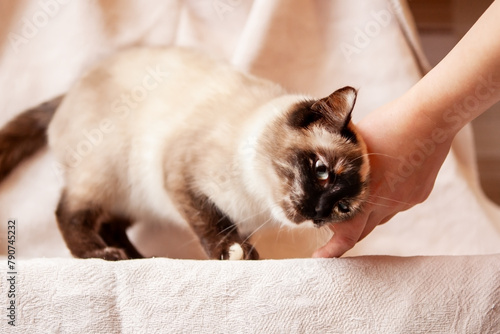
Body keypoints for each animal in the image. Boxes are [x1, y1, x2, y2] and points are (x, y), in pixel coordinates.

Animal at [0, 47, 368, 260]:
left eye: (341, 208)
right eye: (321, 170)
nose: (316, 213)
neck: (255, 202)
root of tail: (69, 92)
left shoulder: (232, 213)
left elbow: (234, 230)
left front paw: (245, 253)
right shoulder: (181, 177)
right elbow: (211, 221)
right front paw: (230, 253)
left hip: (138, 196)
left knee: (112, 225)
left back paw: (138, 258)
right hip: (109, 173)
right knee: (69, 211)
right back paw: (100, 254)